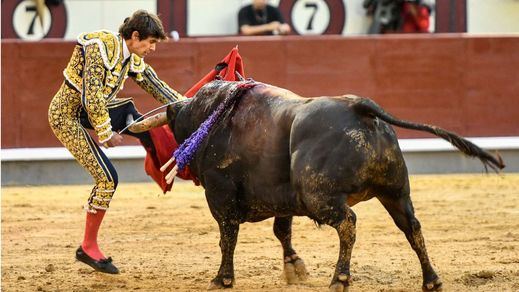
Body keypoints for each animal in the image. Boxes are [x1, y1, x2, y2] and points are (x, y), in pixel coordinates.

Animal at [129, 78, 504, 290]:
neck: (212, 117)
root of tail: (359, 106)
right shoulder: (280, 197)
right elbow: (282, 231)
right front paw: (295, 268)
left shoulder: (220, 195)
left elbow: (227, 238)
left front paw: (222, 279)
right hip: (395, 192)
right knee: (411, 226)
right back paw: (431, 280)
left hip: (319, 196)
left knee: (349, 224)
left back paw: (340, 279)